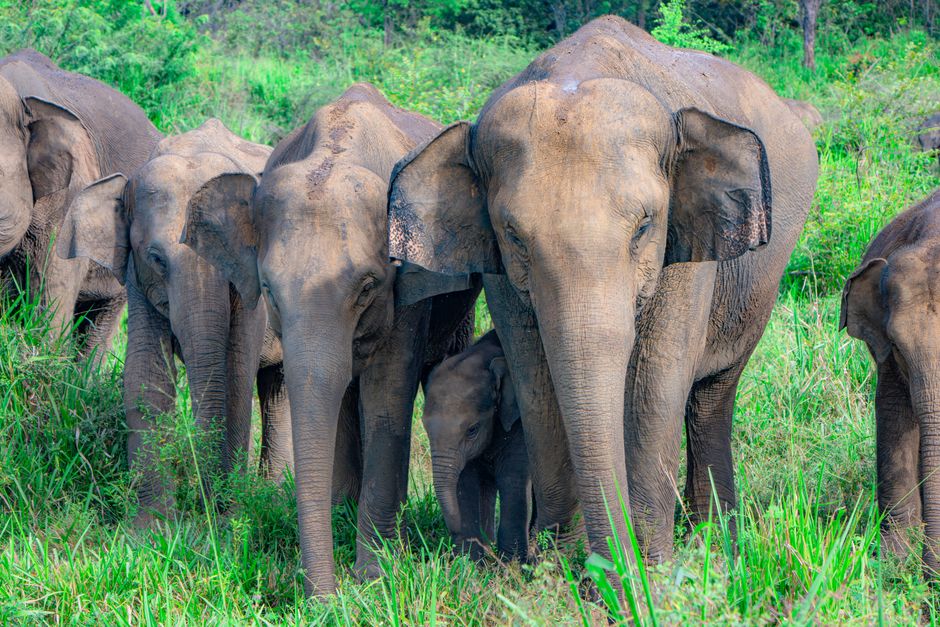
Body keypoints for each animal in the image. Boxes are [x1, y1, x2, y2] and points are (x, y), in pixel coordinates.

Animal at [57, 119, 361, 520]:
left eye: (228, 262)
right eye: (157, 258)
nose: (202, 502)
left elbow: (236, 376)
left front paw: (227, 516)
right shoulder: (139, 281)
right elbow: (146, 372)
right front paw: (154, 525)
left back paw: (270, 497)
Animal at [180, 83, 478, 596]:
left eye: (367, 288)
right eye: (269, 291)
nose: (325, 597)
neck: (336, 152)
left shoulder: (407, 290)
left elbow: (386, 399)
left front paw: (375, 579)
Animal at [422, 329, 531, 562]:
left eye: (472, 429)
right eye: (425, 427)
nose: (452, 533)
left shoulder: (519, 424)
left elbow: (512, 479)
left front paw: (512, 564)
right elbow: (467, 482)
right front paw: (469, 562)